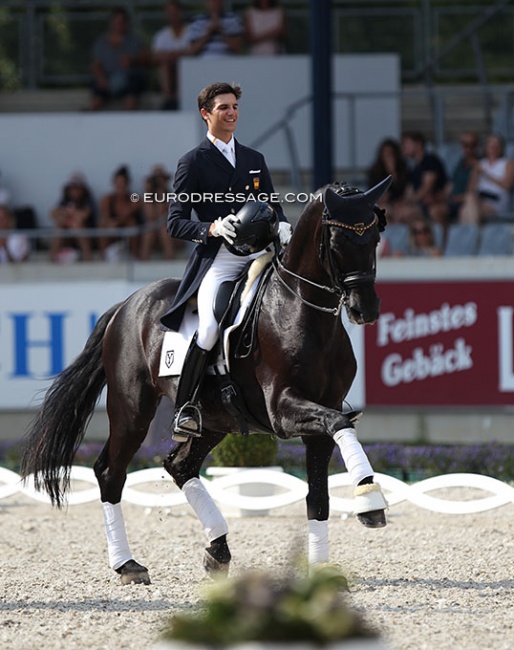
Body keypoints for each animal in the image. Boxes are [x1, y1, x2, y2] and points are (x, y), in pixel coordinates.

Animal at [19, 176, 388, 584]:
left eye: (374, 238)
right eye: (337, 242)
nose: (365, 310)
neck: (302, 312)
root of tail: (126, 305)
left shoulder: (320, 416)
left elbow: (319, 495)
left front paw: (323, 569)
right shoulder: (283, 410)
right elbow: (340, 425)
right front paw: (370, 500)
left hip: (213, 418)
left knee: (179, 466)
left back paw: (218, 550)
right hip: (132, 409)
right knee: (111, 472)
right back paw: (128, 565)